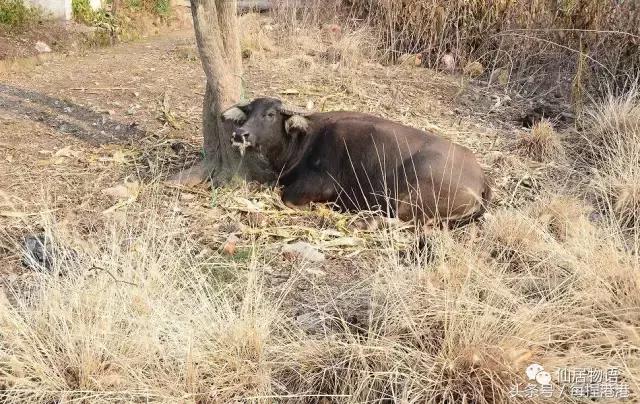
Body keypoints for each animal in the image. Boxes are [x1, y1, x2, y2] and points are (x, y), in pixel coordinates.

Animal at [224, 96, 490, 226]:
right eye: (248, 113)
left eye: (270, 114)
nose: (240, 134)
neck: (303, 140)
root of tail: (482, 179)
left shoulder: (321, 185)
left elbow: (287, 197)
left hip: (410, 196)